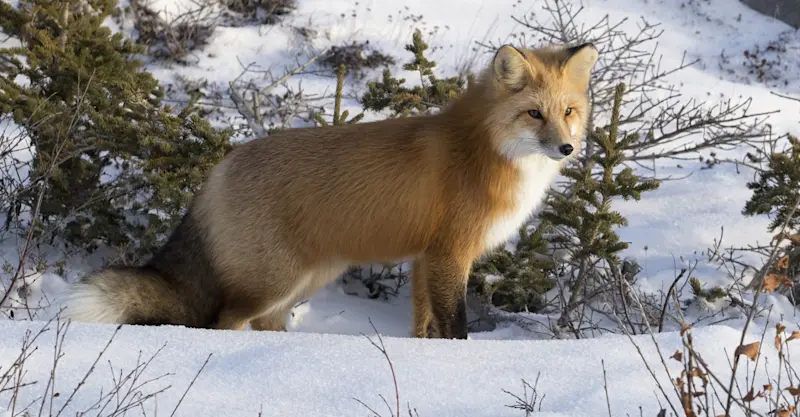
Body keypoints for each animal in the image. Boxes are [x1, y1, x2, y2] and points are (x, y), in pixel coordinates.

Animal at [60, 42, 599, 339]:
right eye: (534, 114)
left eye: (569, 111)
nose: (567, 148)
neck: (485, 149)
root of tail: (220, 167)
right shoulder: (450, 254)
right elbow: (455, 329)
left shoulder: (424, 260)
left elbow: (424, 329)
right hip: (272, 282)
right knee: (223, 322)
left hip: (303, 281)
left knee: (266, 325)